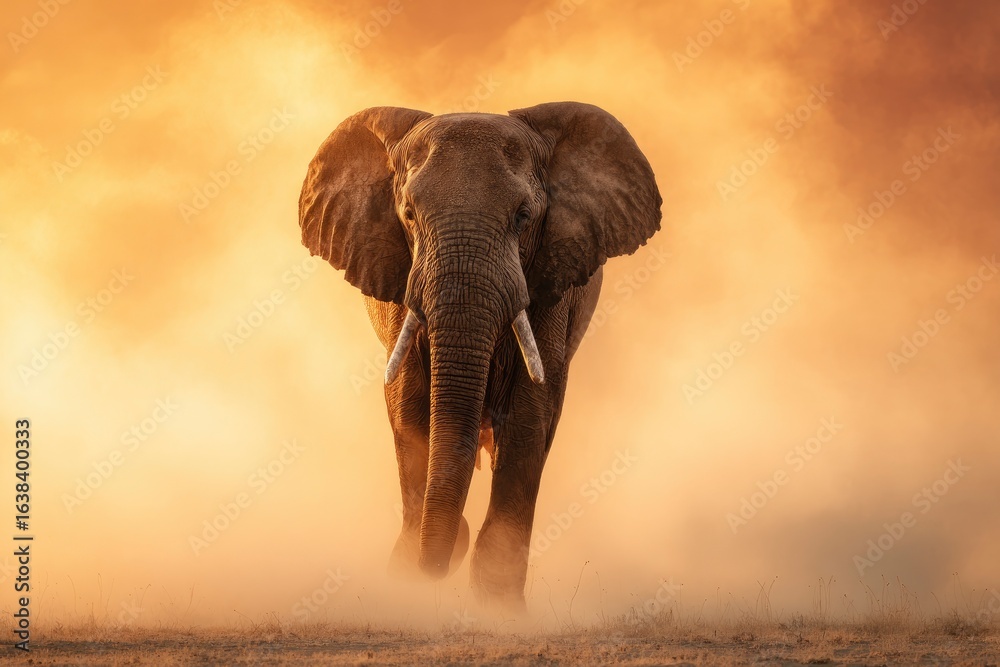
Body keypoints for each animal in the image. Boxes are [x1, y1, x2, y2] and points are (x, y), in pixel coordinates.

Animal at [298, 101, 662, 610]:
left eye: (524, 217)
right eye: (408, 215)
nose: (439, 562)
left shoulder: (551, 279)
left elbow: (531, 413)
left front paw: (498, 608)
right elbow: (409, 409)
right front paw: (410, 585)